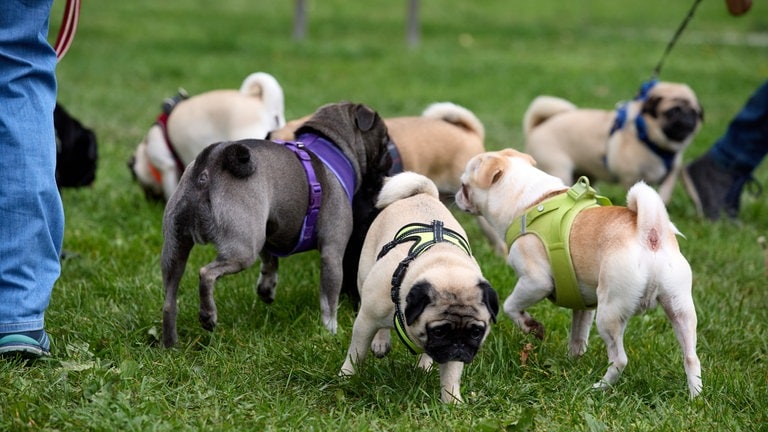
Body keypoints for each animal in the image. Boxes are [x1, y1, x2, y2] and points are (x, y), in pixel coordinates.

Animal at [160, 102, 390, 348]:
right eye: (385, 141)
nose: (389, 162)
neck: (333, 144)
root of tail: (209, 167)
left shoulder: (268, 232)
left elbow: (270, 262)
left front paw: (266, 288)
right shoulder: (332, 254)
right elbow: (328, 301)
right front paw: (330, 332)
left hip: (175, 250)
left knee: (169, 301)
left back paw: (171, 344)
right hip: (242, 249)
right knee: (206, 273)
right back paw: (207, 315)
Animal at [340, 170, 498, 404]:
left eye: (476, 332)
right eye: (439, 332)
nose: (458, 345)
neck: (441, 261)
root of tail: (422, 194)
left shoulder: (453, 353)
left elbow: (451, 374)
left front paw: (452, 402)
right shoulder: (366, 320)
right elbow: (356, 352)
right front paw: (346, 376)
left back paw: (424, 365)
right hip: (364, 277)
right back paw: (380, 343)